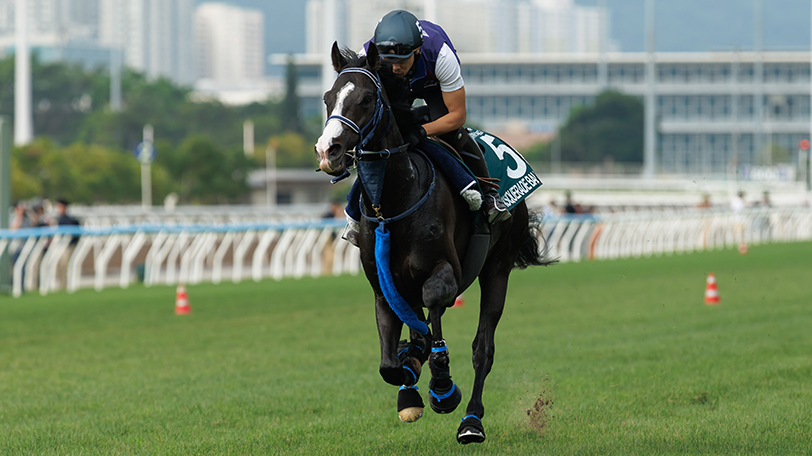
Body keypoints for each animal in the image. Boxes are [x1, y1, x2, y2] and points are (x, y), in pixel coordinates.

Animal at [314, 42, 551, 444]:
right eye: (329, 98)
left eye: (366, 98)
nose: (328, 150)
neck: (393, 204)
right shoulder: (383, 286)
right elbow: (390, 362)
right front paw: (408, 384)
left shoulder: (446, 271)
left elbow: (434, 305)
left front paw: (442, 386)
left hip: (497, 268)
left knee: (482, 348)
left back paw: (471, 419)